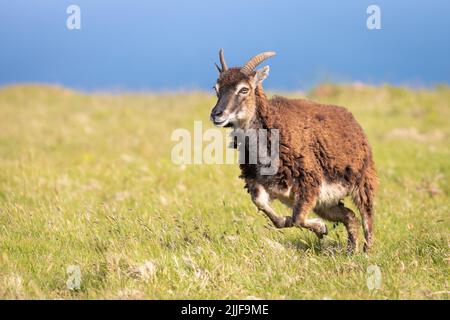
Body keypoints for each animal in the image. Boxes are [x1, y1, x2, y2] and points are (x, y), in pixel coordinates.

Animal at [209, 49, 378, 252]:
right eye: (216, 88)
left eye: (244, 89)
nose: (217, 114)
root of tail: (353, 121)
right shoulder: (258, 183)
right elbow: (268, 210)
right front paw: (303, 224)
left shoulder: (309, 183)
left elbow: (298, 218)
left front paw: (320, 228)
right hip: (325, 202)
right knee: (349, 215)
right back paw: (350, 250)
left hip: (363, 181)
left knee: (367, 217)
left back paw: (366, 252)